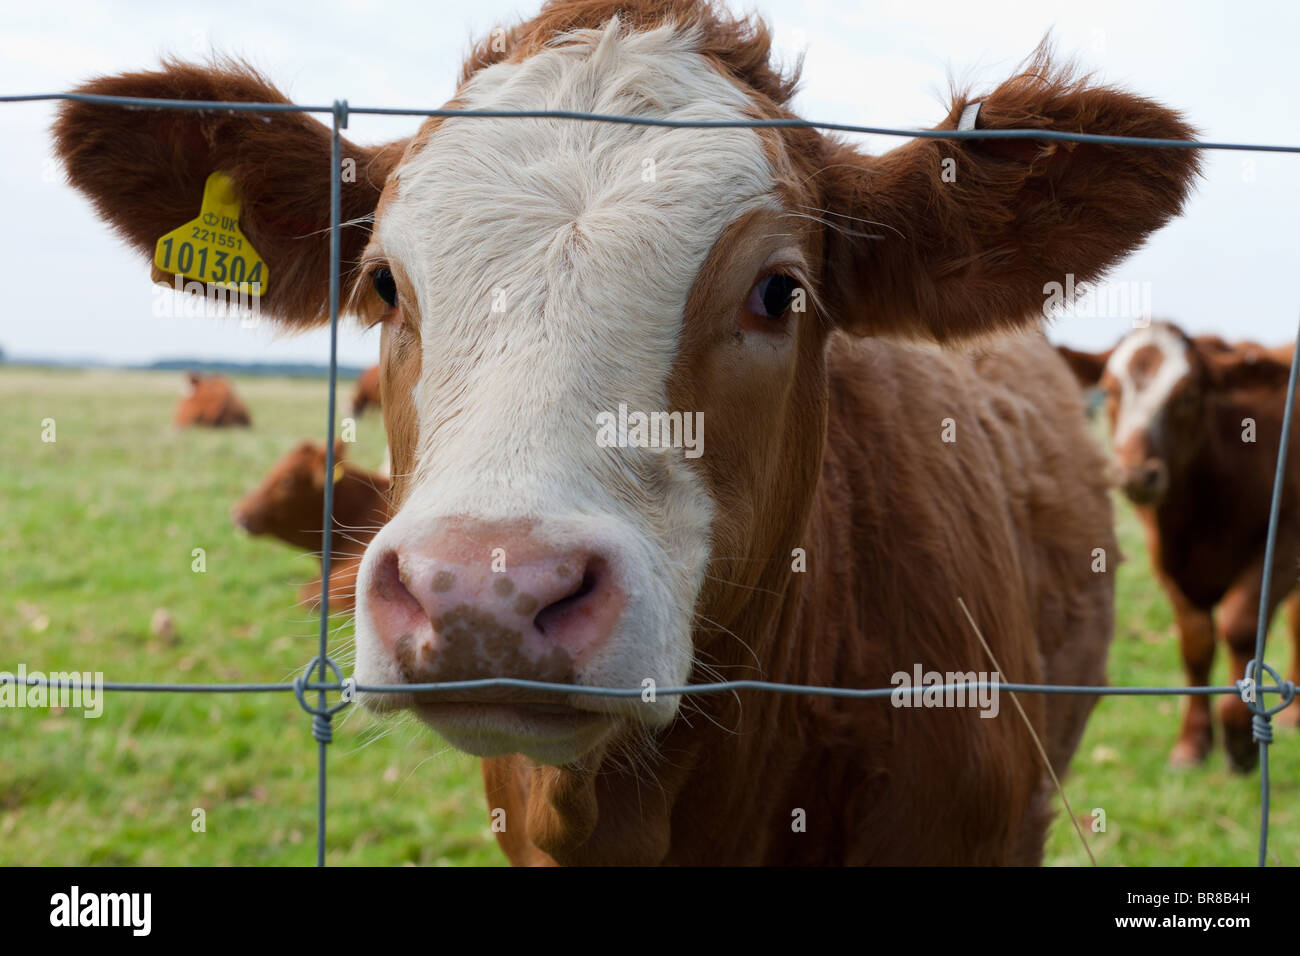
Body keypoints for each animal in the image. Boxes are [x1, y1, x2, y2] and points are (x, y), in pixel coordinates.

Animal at [1058, 322, 1300, 771]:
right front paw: (1192, 742)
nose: (1137, 474)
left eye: (1188, 396)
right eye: (1111, 391)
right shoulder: (1166, 560)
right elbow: (1196, 643)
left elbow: (1239, 622)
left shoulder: (1285, 541)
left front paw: (1239, 739)